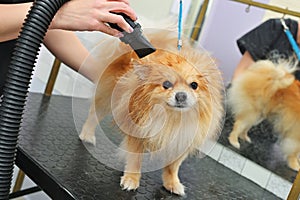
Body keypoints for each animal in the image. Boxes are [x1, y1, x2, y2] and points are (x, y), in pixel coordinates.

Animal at [78, 29, 224, 195]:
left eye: (194, 85)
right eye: (166, 84)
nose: (181, 95)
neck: (172, 118)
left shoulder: (182, 140)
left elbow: (173, 166)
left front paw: (172, 183)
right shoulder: (138, 133)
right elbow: (135, 160)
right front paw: (131, 179)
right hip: (106, 99)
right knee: (93, 116)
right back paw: (87, 135)